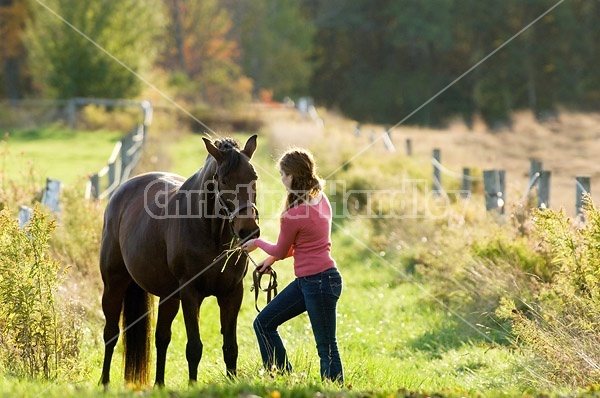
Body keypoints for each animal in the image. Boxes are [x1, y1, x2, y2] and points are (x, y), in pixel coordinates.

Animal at [99, 134, 258, 386]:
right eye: (223, 180)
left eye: (254, 178)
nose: (248, 231)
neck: (210, 232)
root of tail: (122, 191)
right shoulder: (190, 294)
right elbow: (194, 347)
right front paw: (192, 386)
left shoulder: (232, 294)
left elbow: (230, 347)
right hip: (114, 285)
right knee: (111, 334)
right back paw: (104, 383)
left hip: (168, 296)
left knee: (161, 337)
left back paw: (159, 384)